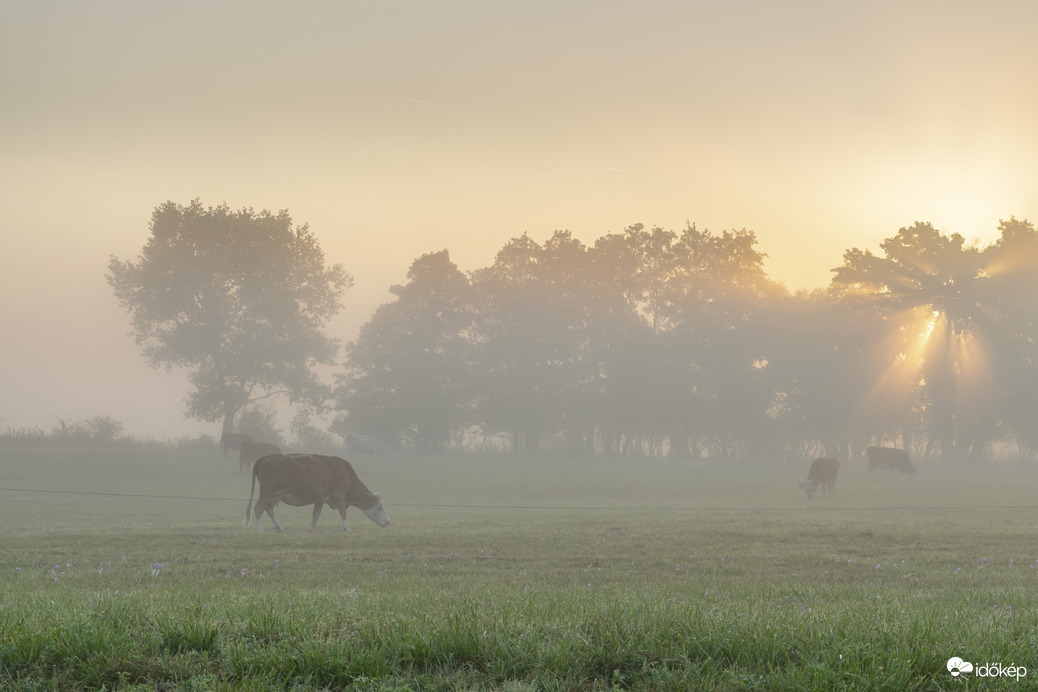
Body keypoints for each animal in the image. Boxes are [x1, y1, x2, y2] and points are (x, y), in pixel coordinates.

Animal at [242, 454, 390, 535]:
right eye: (379, 507)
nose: (388, 521)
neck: (344, 471)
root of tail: (266, 457)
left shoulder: (320, 498)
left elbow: (316, 514)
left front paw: (311, 529)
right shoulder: (339, 495)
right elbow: (343, 512)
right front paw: (347, 528)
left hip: (272, 495)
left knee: (268, 508)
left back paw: (278, 526)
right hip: (266, 492)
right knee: (259, 508)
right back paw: (259, 530)